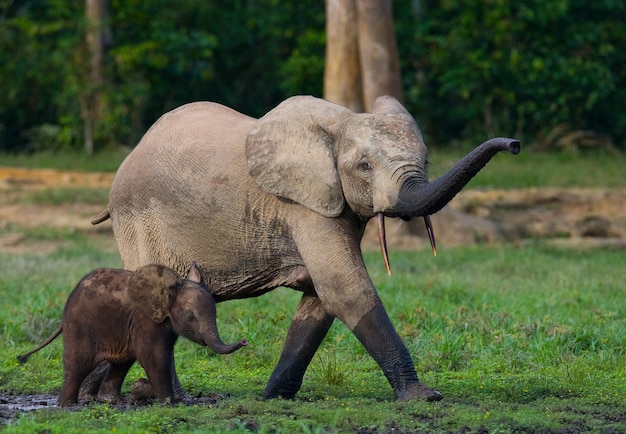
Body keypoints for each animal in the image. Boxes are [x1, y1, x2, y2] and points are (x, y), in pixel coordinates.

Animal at [17, 262, 246, 406]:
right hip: (80, 326)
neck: (169, 289)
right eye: (191, 317)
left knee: (122, 361)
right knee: (79, 365)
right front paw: (169, 404)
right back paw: (66, 405)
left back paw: (110, 402)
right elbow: (154, 356)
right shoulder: (145, 319)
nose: (244, 341)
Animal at [89, 94, 516, 400]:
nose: (514, 144)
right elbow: (343, 287)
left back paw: (97, 397)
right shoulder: (303, 206)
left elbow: (320, 296)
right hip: (139, 219)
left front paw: (274, 398)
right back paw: (171, 399)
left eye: (425, 162)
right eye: (364, 167)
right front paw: (424, 397)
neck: (340, 124)